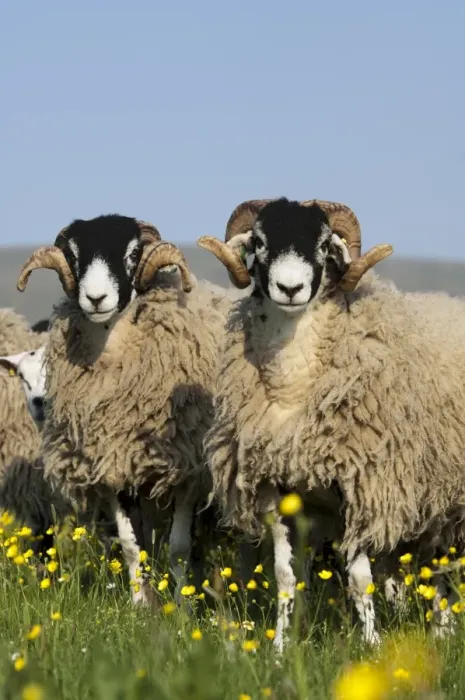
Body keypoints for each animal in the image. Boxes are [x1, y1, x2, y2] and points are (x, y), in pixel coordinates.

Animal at [16, 213, 237, 605]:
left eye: (133, 254)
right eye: (74, 255)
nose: (96, 298)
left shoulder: (187, 469)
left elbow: (179, 547)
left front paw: (182, 605)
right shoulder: (114, 464)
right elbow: (133, 546)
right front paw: (140, 604)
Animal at [197, 196, 465, 649]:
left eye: (324, 245)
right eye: (260, 242)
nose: (289, 289)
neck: (293, 390)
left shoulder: (360, 485)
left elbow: (359, 580)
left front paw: (373, 645)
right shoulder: (276, 490)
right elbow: (286, 577)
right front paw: (280, 646)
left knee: (444, 568)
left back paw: (442, 633)